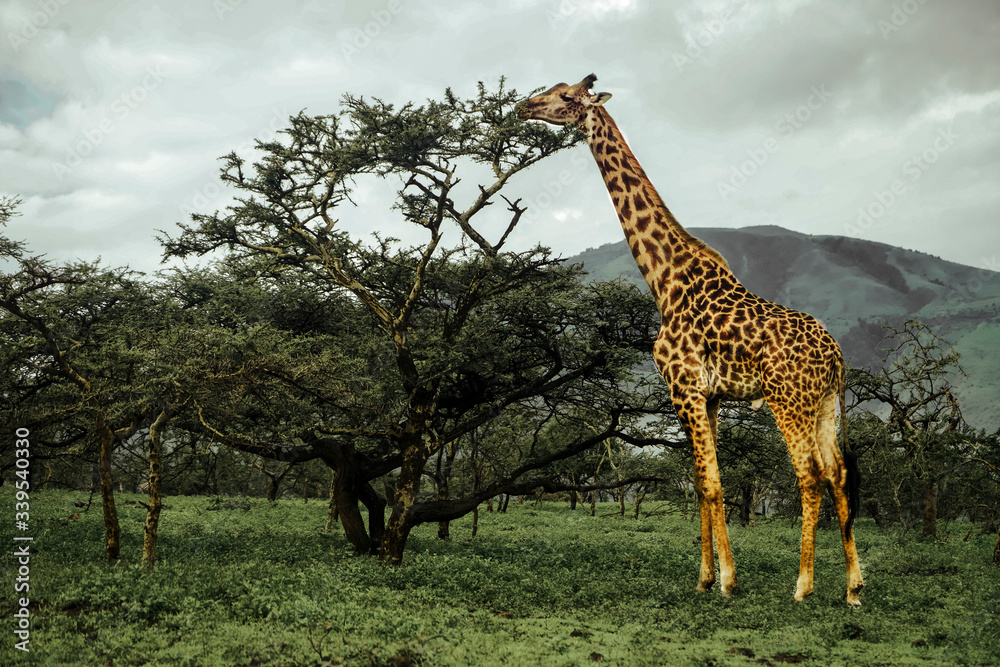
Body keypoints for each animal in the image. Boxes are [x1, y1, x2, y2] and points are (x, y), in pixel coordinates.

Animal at [519, 74, 864, 605]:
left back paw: (803, 585)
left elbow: (712, 482)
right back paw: (853, 587)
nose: (522, 106)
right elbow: (702, 482)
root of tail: (837, 355)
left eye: (566, 97)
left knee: (808, 475)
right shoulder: (711, 395)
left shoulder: (683, 387)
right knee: (838, 475)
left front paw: (726, 580)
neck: (664, 280)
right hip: (824, 402)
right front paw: (703, 576)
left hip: (788, 400)